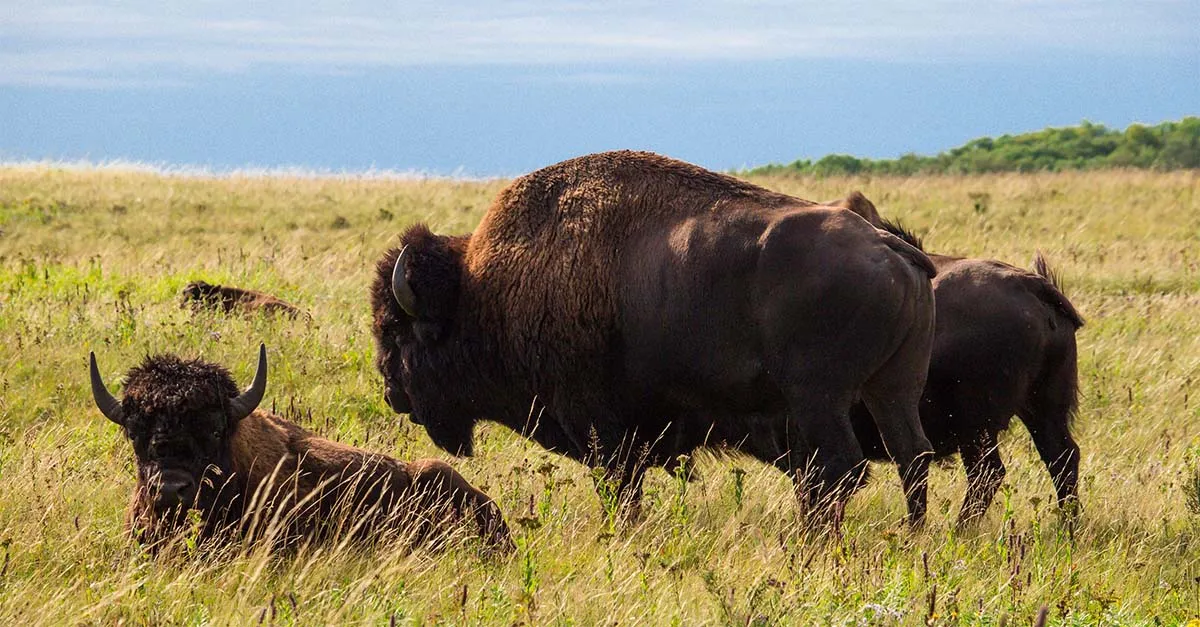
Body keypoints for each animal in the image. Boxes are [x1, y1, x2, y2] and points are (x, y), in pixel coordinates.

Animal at [372, 151, 938, 525]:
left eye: (396, 333)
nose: (392, 393)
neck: (483, 288)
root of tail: (888, 245)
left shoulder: (600, 426)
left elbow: (620, 487)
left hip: (818, 397)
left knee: (841, 469)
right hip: (893, 387)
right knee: (911, 455)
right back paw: (913, 536)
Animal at [832, 192, 1084, 525]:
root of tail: (1031, 284)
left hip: (978, 426)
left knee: (988, 473)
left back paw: (961, 526)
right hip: (1041, 409)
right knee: (1062, 458)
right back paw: (1067, 526)